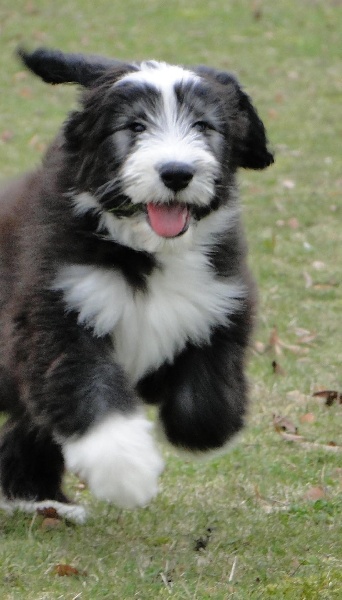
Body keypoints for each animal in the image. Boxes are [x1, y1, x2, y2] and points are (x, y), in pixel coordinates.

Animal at [0, 49, 272, 524]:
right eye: (135, 127)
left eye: (203, 126)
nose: (177, 172)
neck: (144, 253)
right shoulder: (54, 314)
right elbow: (87, 384)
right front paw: (127, 469)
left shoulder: (220, 302)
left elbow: (207, 403)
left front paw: (194, 430)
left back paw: (37, 498)